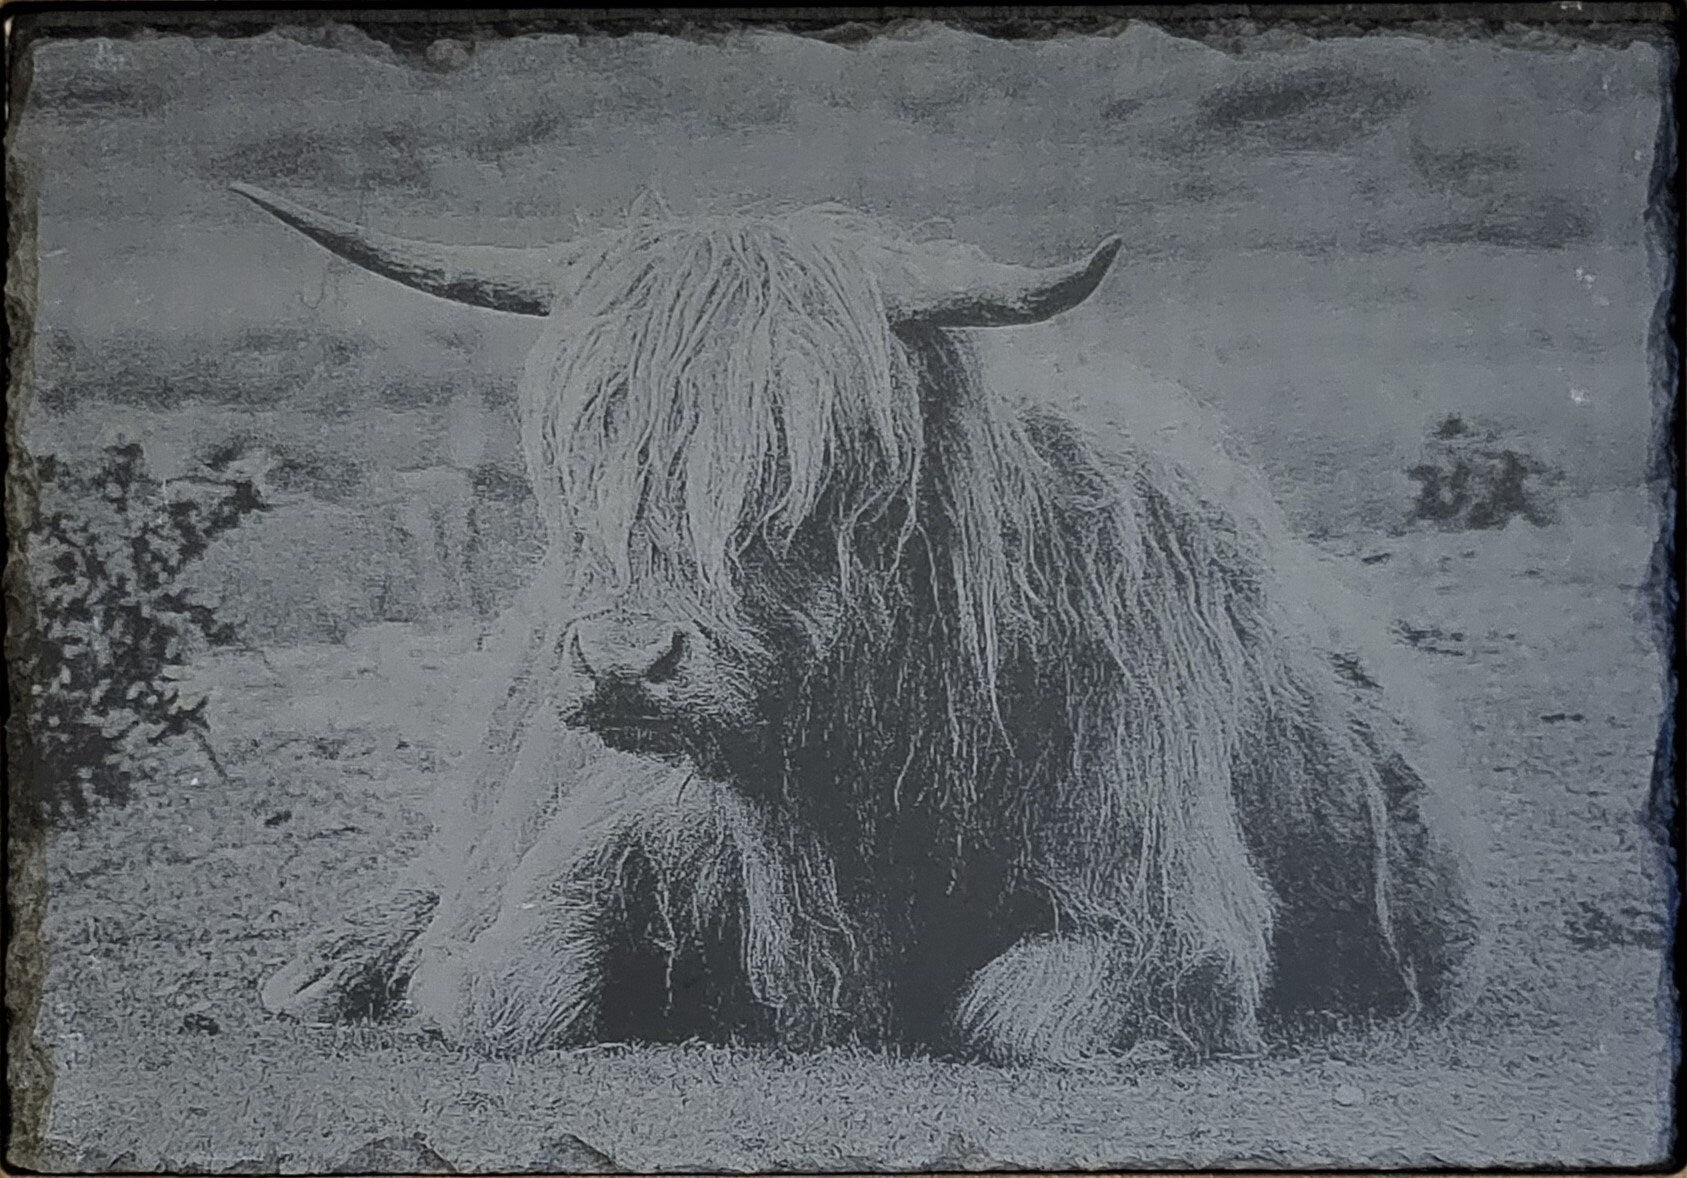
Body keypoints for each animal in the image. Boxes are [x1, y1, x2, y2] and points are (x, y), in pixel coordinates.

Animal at [240, 183, 1484, 1065]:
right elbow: (505, 989)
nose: (624, 663)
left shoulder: (1165, 922)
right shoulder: (585, 849)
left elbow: (1016, 1015)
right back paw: (321, 964)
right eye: (572, 455)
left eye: (813, 462)